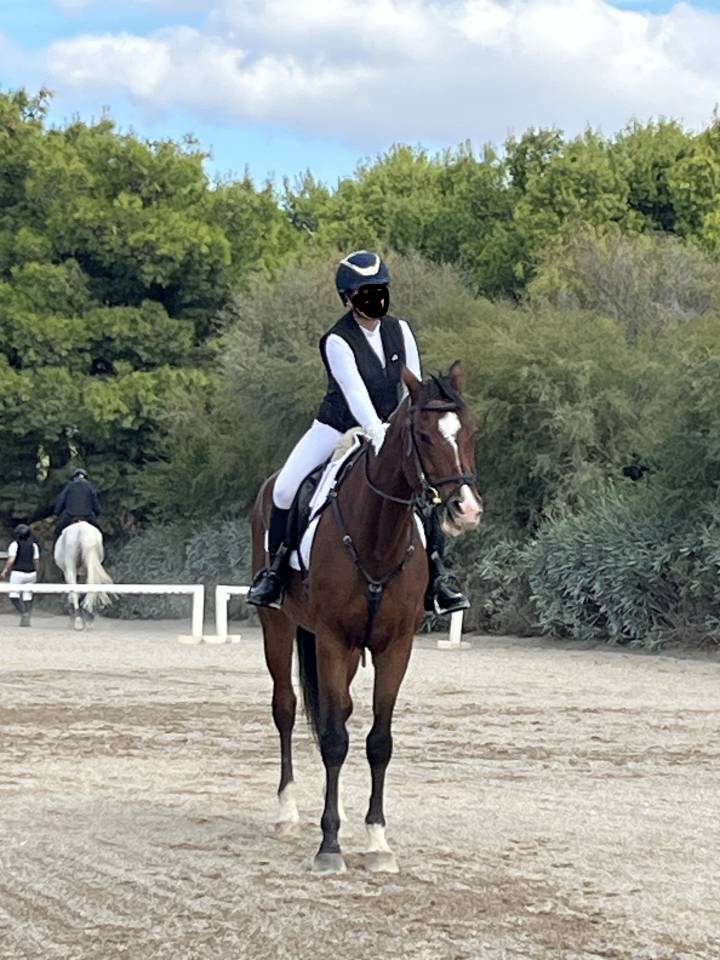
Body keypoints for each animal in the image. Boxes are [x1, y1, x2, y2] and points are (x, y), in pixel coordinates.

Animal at [251, 362, 483, 874]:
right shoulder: (333, 640)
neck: (377, 535)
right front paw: (329, 846)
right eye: (422, 434)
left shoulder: (395, 647)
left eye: (470, 430)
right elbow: (335, 739)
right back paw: (286, 813)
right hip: (279, 626)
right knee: (286, 709)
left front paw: (377, 842)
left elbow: (378, 740)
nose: (466, 510)